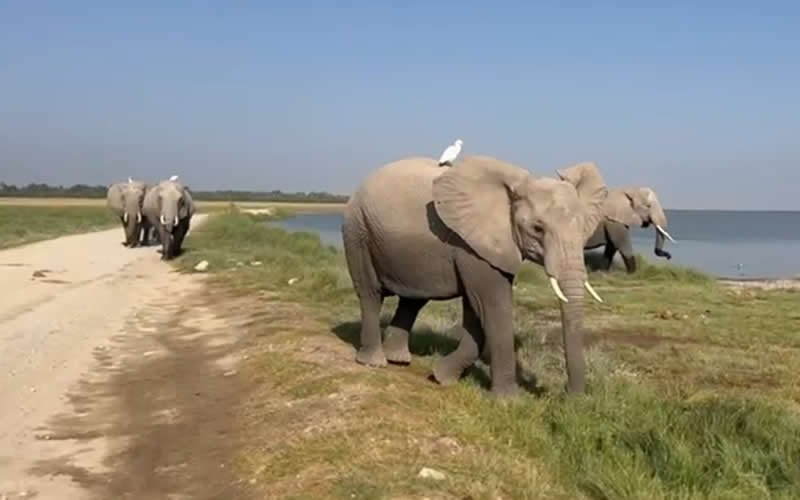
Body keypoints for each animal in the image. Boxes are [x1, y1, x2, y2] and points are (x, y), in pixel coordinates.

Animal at [341, 155, 608, 396]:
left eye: (584, 228)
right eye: (538, 229)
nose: (568, 397)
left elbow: (476, 311)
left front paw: (441, 377)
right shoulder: (471, 244)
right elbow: (492, 305)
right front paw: (509, 401)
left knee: (413, 300)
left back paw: (398, 359)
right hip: (358, 230)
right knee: (370, 293)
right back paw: (374, 362)